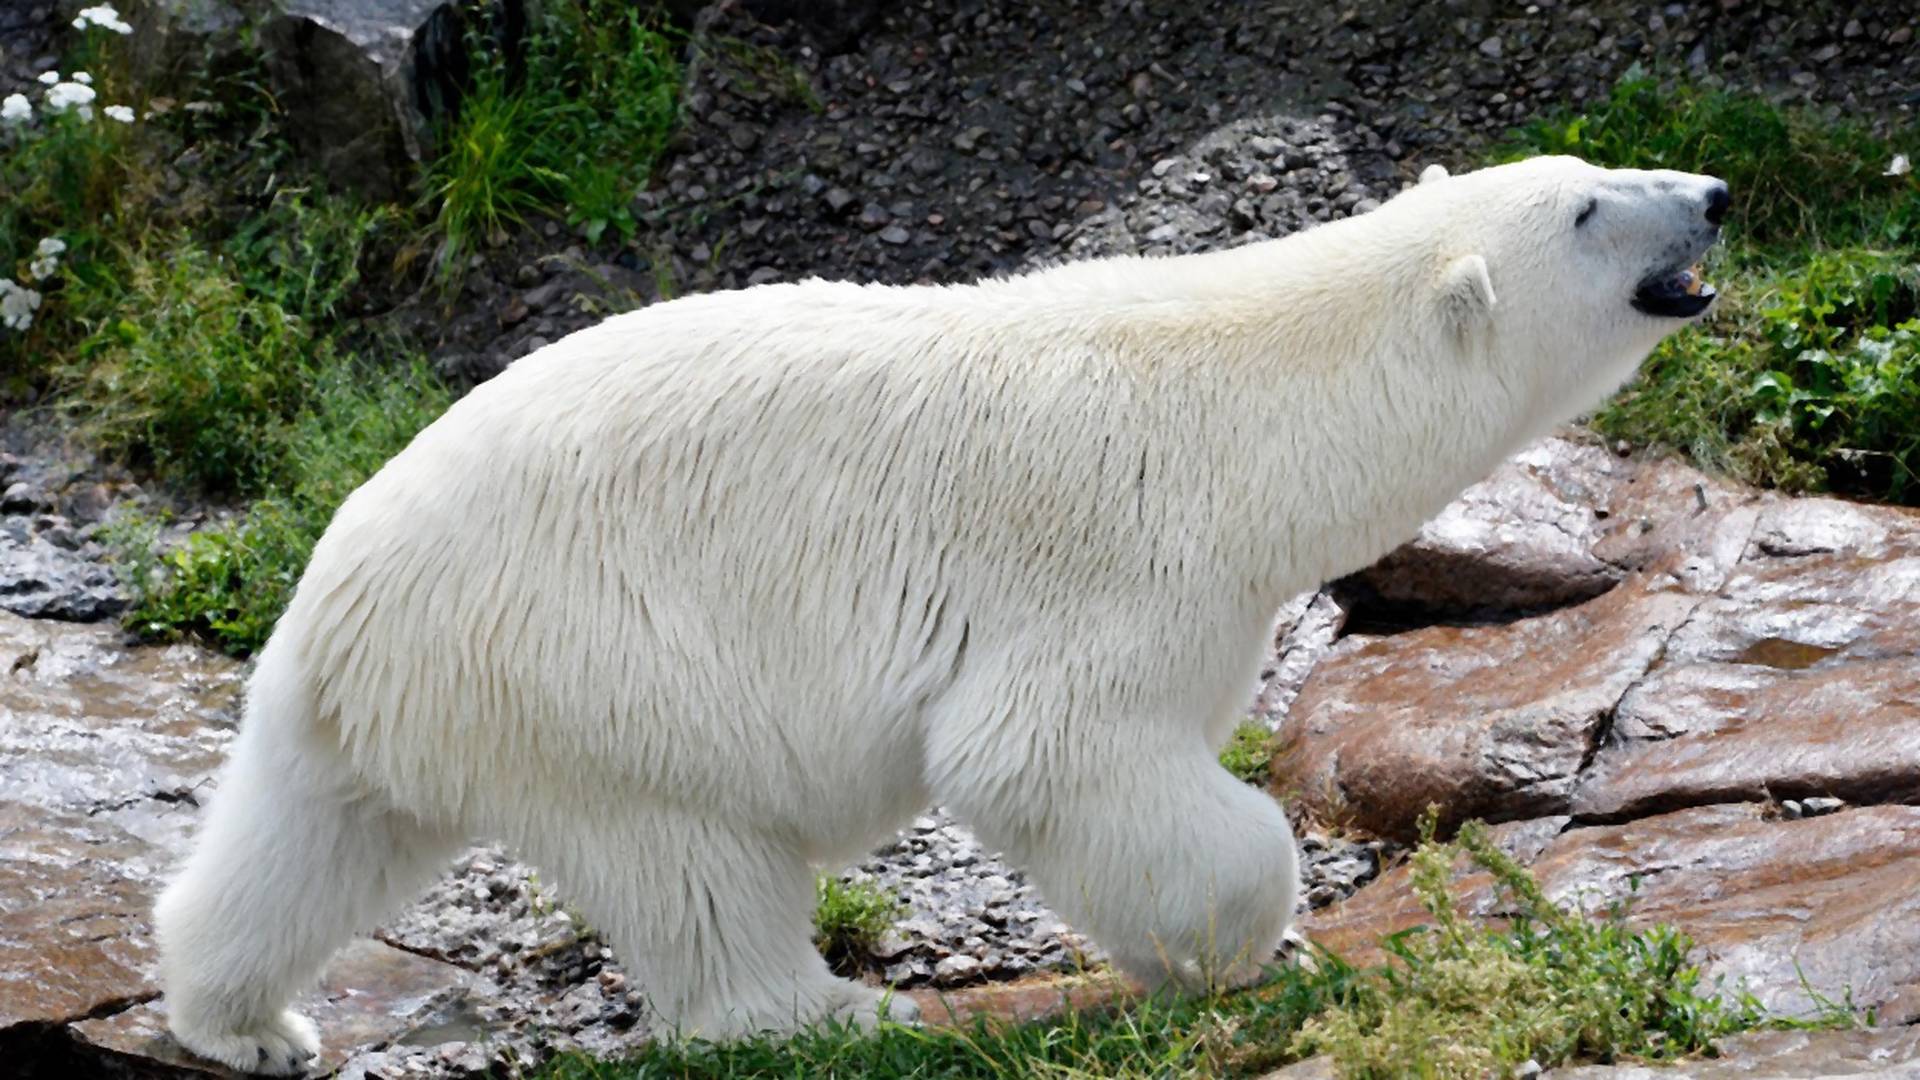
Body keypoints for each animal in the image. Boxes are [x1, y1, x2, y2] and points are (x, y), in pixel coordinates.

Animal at [157, 153, 1735, 1068]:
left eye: (1599, 164)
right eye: (1588, 210)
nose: (1715, 194)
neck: (1258, 404)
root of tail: (333, 609)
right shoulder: (1131, 558)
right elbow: (1043, 753)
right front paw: (1247, 943)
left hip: (417, 694)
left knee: (307, 839)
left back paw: (247, 1020)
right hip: (588, 658)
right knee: (689, 857)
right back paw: (826, 1010)